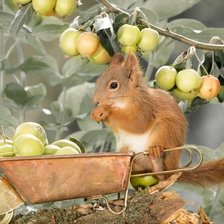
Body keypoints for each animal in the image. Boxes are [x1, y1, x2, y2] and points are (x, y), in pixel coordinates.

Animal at [90, 53, 224, 186]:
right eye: (97, 81)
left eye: (113, 85)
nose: (96, 101)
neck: (126, 99)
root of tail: (174, 169)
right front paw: (96, 113)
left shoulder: (145, 108)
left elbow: (137, 123)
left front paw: (106, 110)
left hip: (165, 130)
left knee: (162, 176)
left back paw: (157, 160)